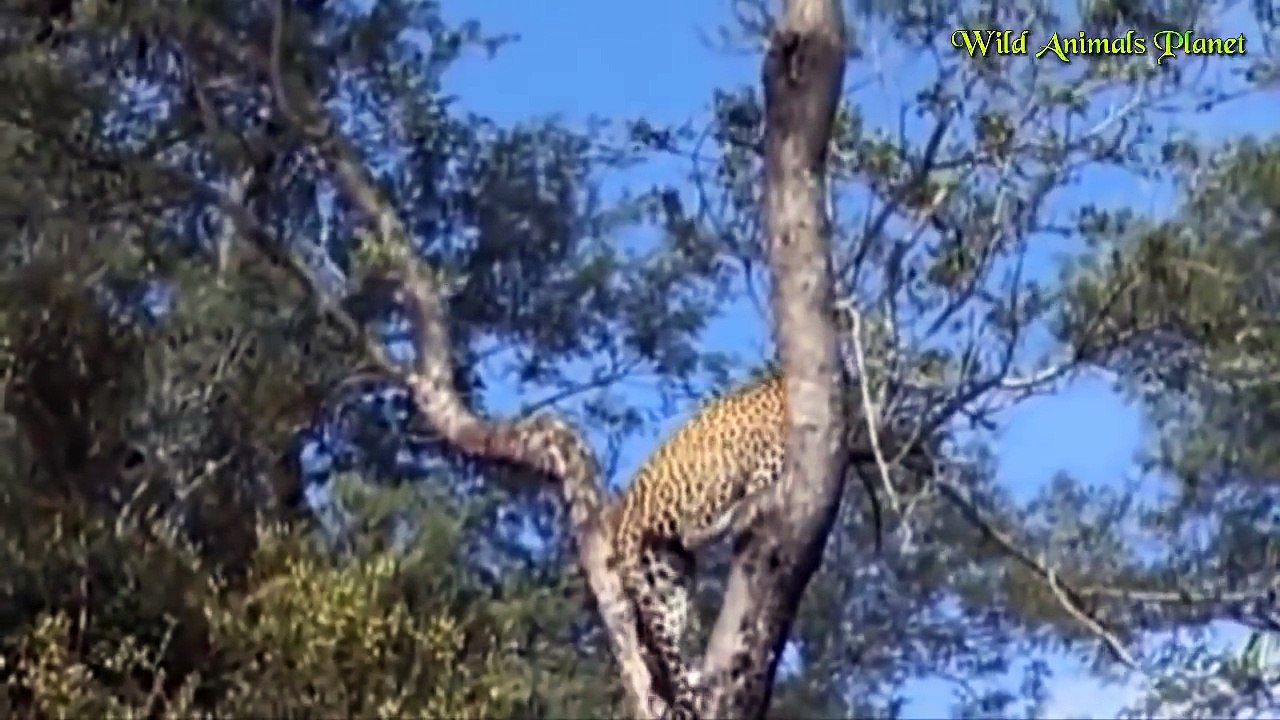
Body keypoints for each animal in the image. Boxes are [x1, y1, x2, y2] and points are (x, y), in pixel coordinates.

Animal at [606, 368, 903, 720]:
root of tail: (626, 513)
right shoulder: (767, 461)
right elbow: (764, 483)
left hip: (667, 572)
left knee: (662, 631)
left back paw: (682, 677)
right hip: (720, 466)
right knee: (693, 529)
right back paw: (729, 518)